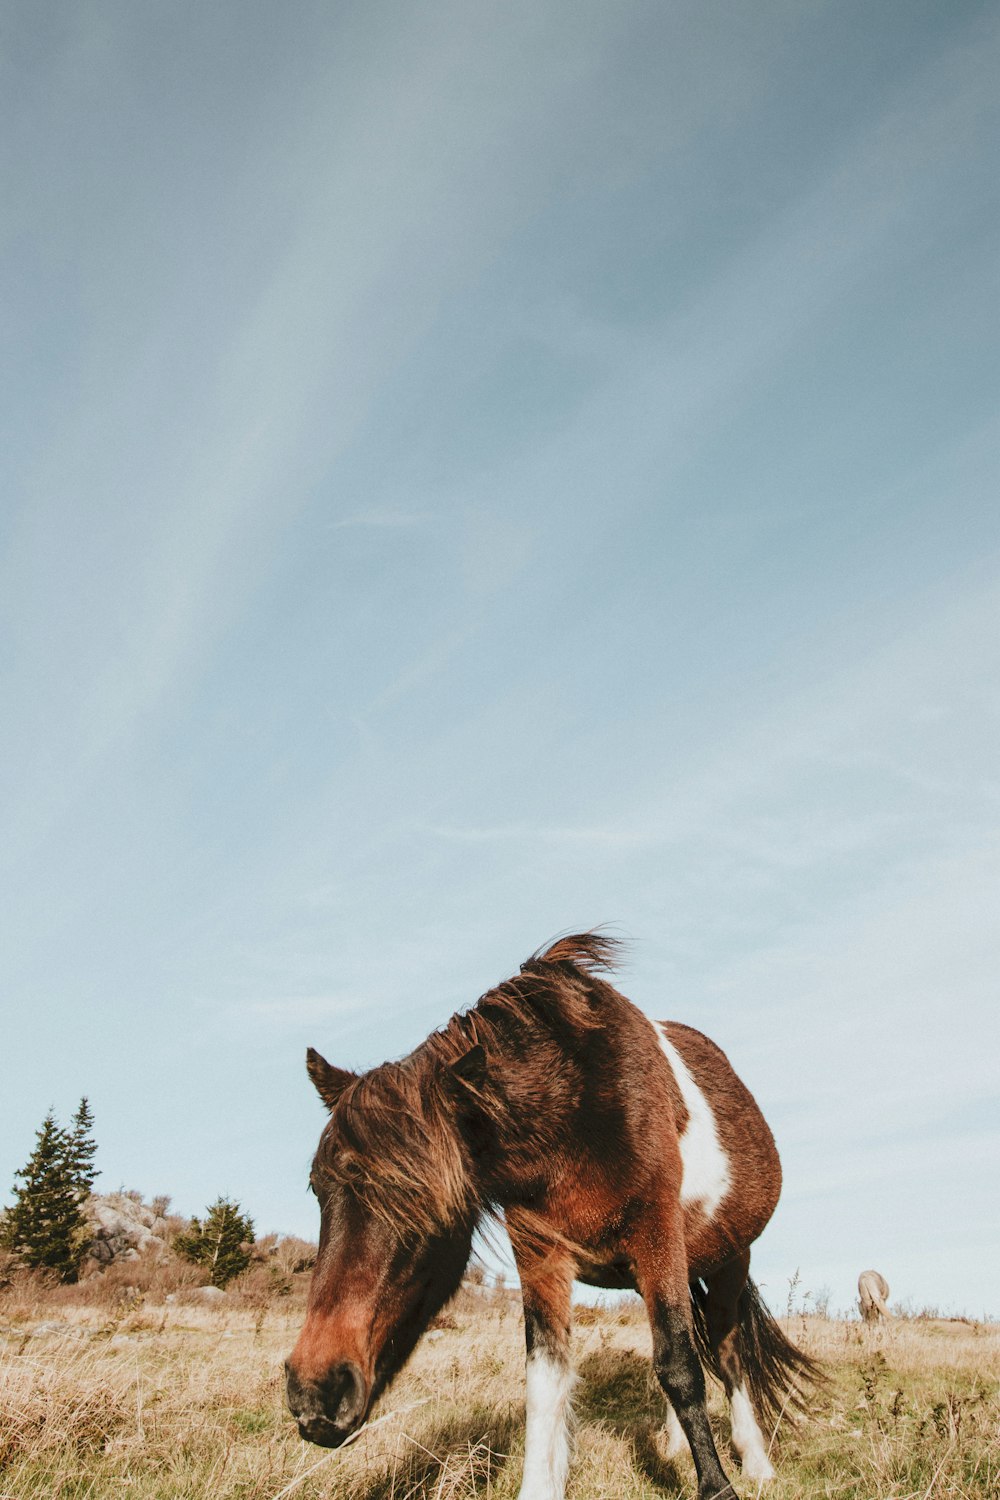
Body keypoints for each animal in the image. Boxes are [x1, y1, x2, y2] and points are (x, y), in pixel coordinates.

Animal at [284, 930, 815, 1494]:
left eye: (421, 1197)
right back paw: (674, 1444)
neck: (578, 1117)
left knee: (726, 1347)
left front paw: (718, 1486)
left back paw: (755, 1461)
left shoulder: (657, 1237)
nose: (315, 1392)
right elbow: (547, 1379)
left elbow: (679, 1367)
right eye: (317, 1188)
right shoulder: (542, 1259)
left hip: (730, 1259)